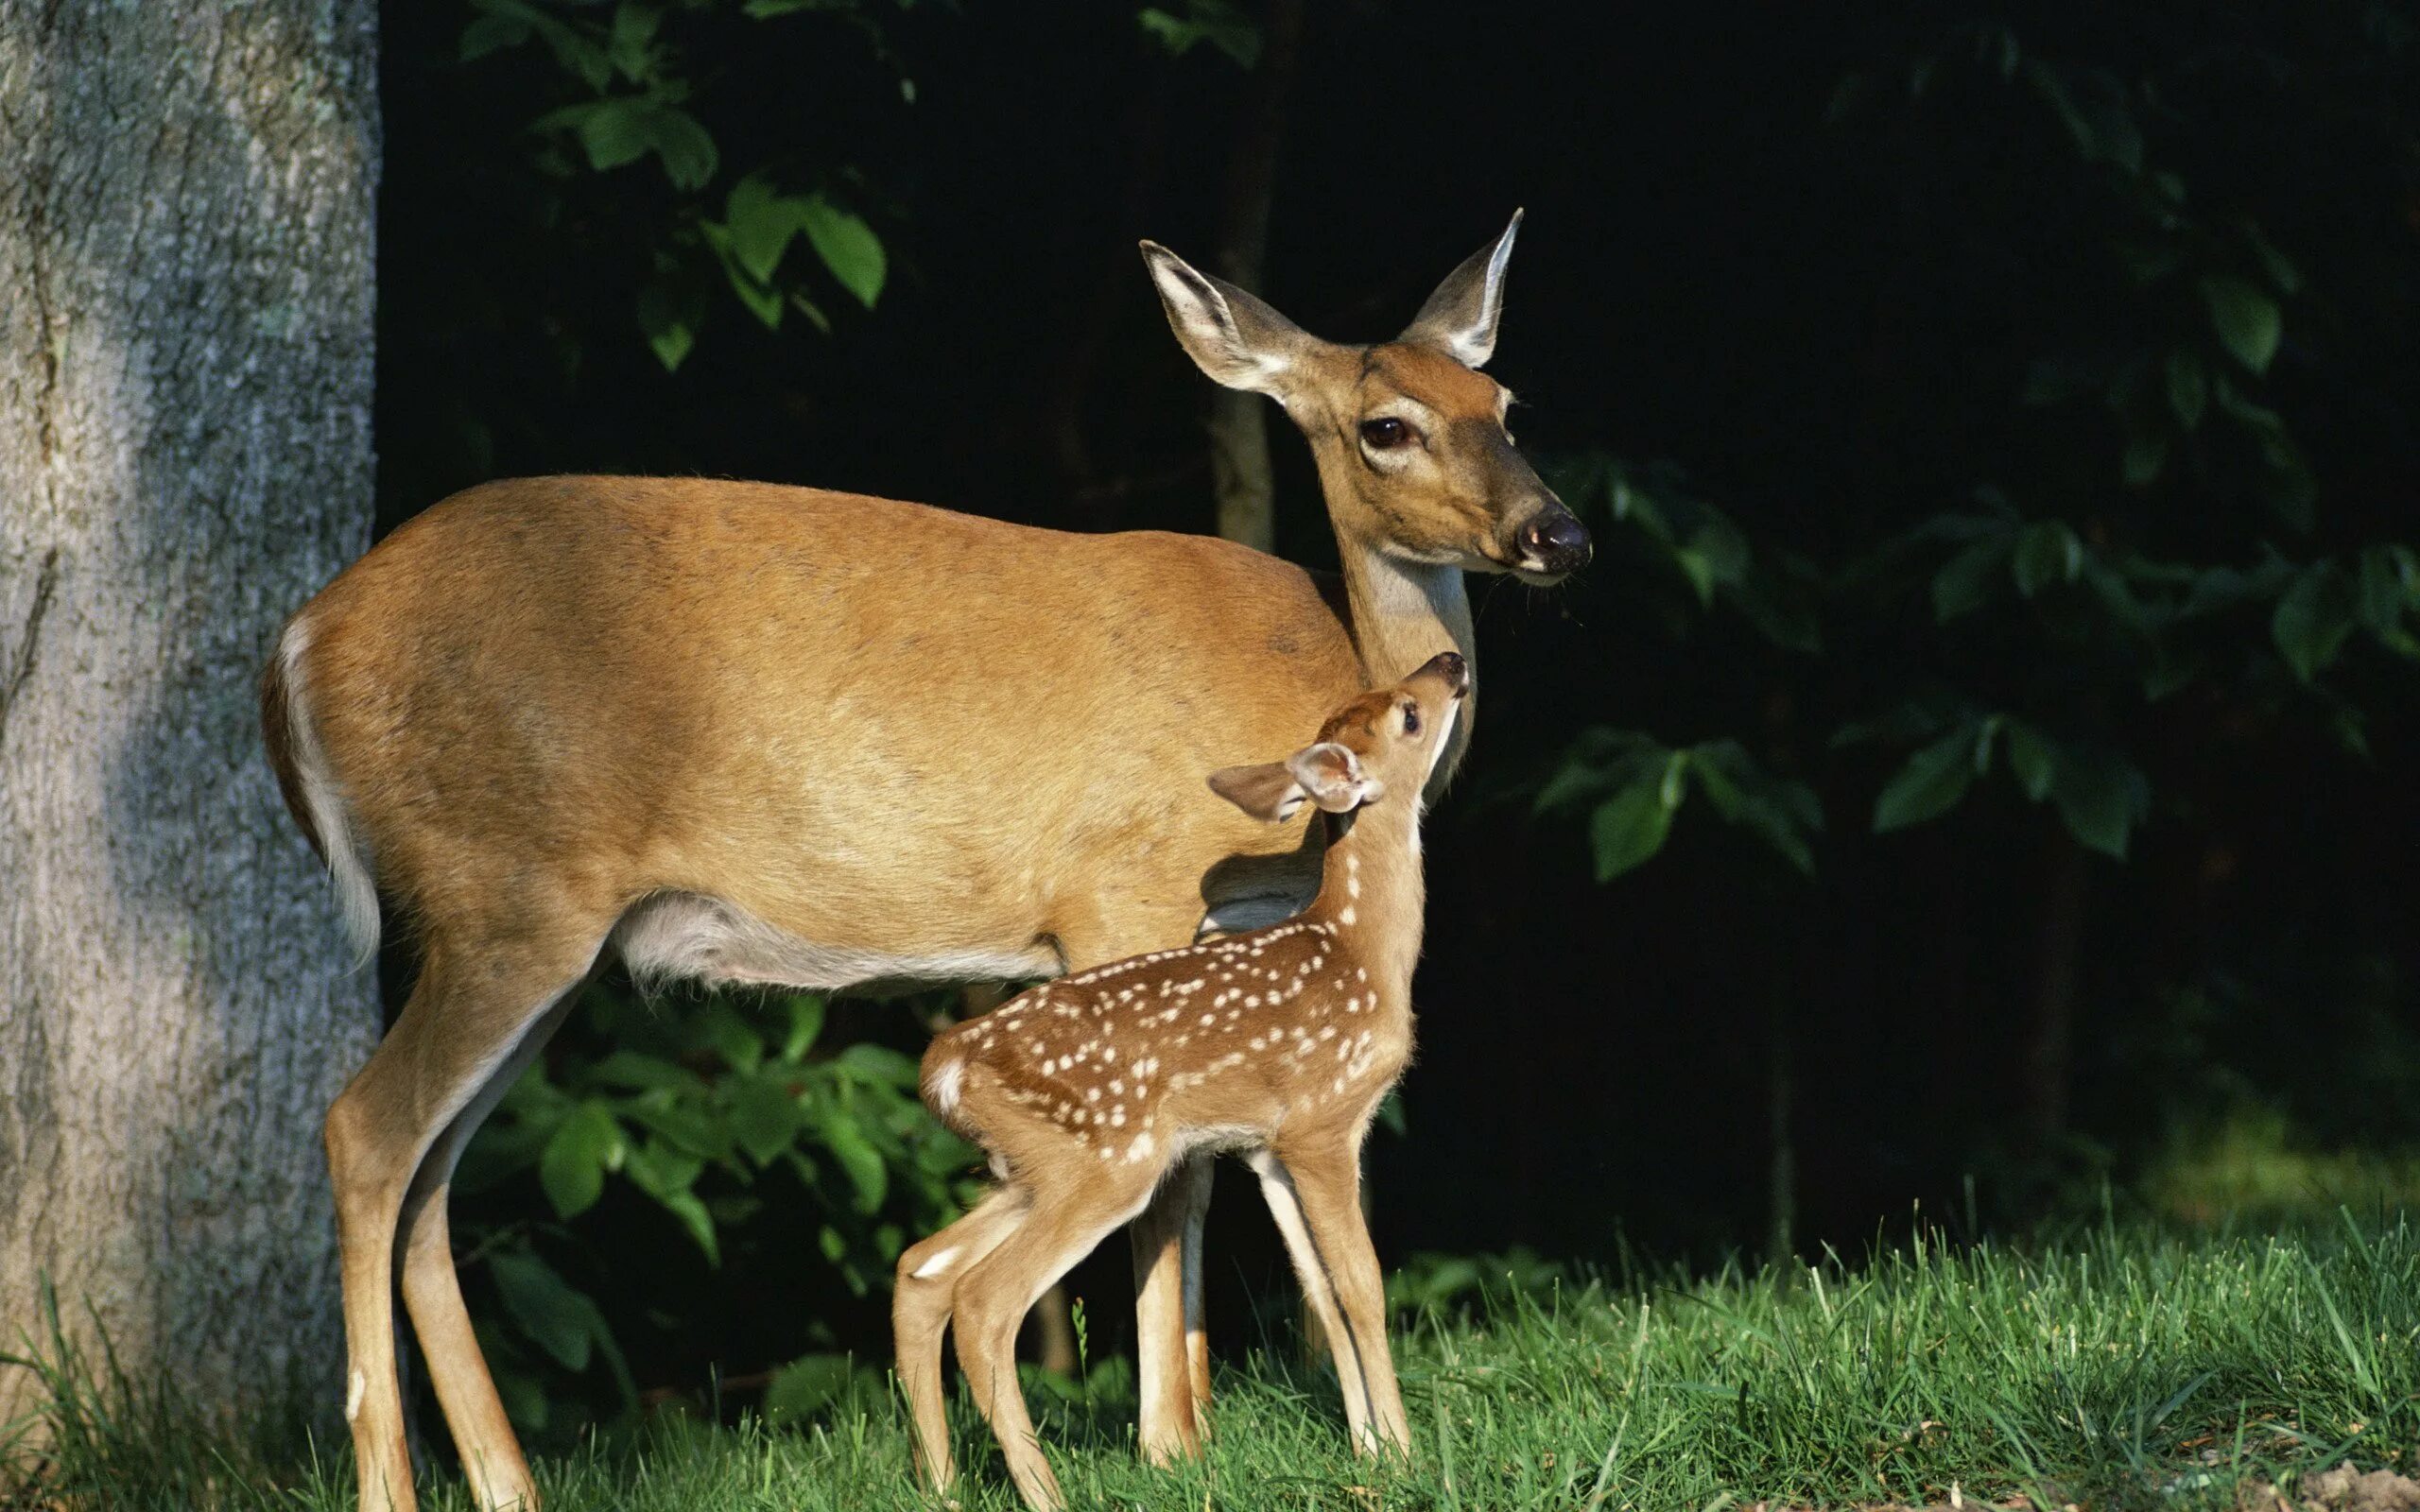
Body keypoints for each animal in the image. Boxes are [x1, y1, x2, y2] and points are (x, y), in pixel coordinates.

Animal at [900, 653, 1461, 1509]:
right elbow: (1363, 1284)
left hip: (1029, 1170)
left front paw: (1368, 1457)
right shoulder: (1324, 1121)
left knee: (922, 1269)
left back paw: (942, 1486)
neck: (1361, 952)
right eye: (1408, 714)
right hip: (1109, 1161)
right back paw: (1045, 1493)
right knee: (985, 1299)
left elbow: (1321, 1294)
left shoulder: (1265, 1146)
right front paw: (1404, 1456)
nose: (1451, 663)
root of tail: (948, 1062)